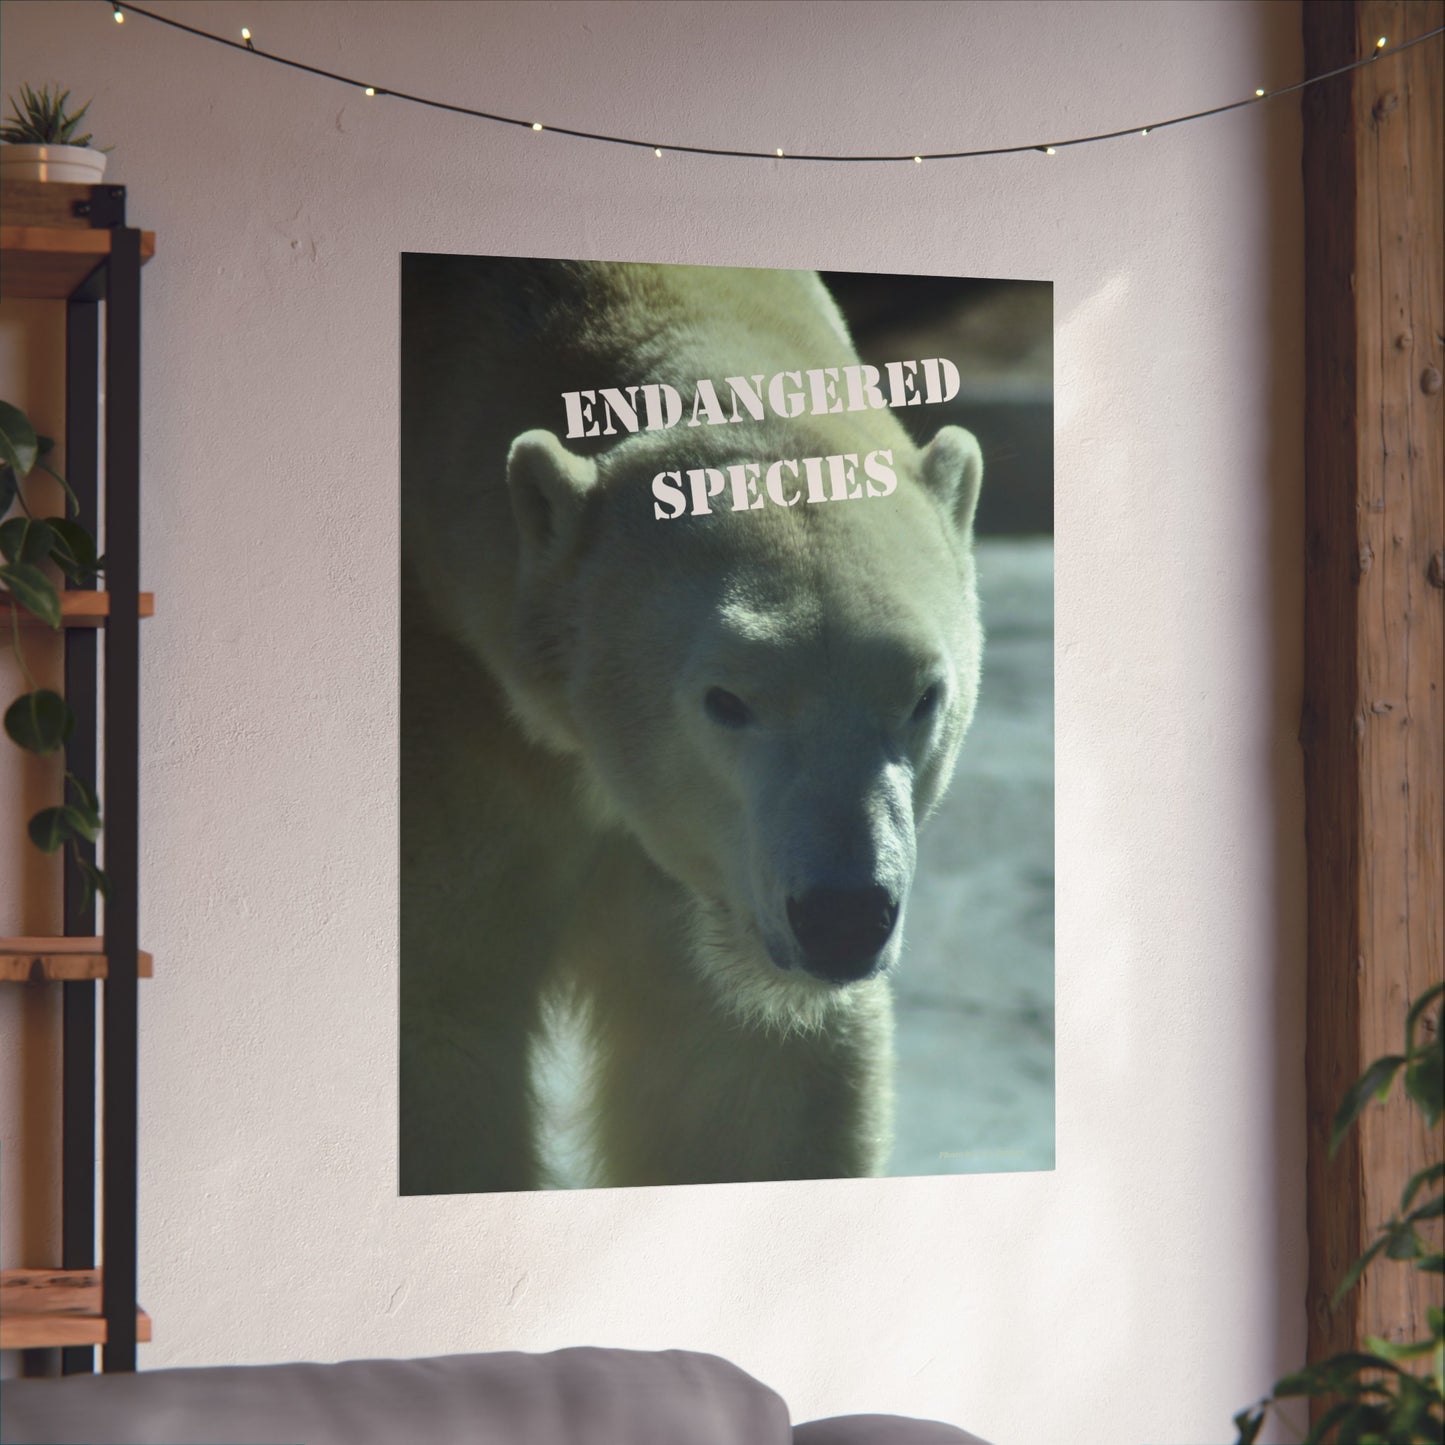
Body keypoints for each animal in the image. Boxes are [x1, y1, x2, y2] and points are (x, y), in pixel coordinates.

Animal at [399, 256, 983, 1193]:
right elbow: (441, 1021)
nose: (844, 914)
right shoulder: (456, 720)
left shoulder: (715, 875)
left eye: (923, 694)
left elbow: (741, 1075)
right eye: (727, 700)